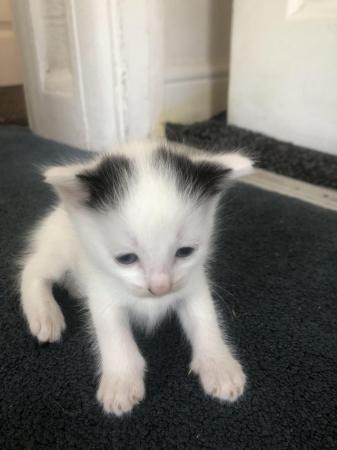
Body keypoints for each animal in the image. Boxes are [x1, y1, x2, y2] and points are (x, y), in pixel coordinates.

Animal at [18, 140, 251, 414]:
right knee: (33, 268)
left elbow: (205, 318)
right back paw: (45, 315)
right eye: (126, 258)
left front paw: (218, 364)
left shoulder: (192, 282)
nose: (160, 288)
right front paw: (121, 381)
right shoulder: (103, 290)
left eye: (185, 252)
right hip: (59, 248)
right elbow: (113, 333)